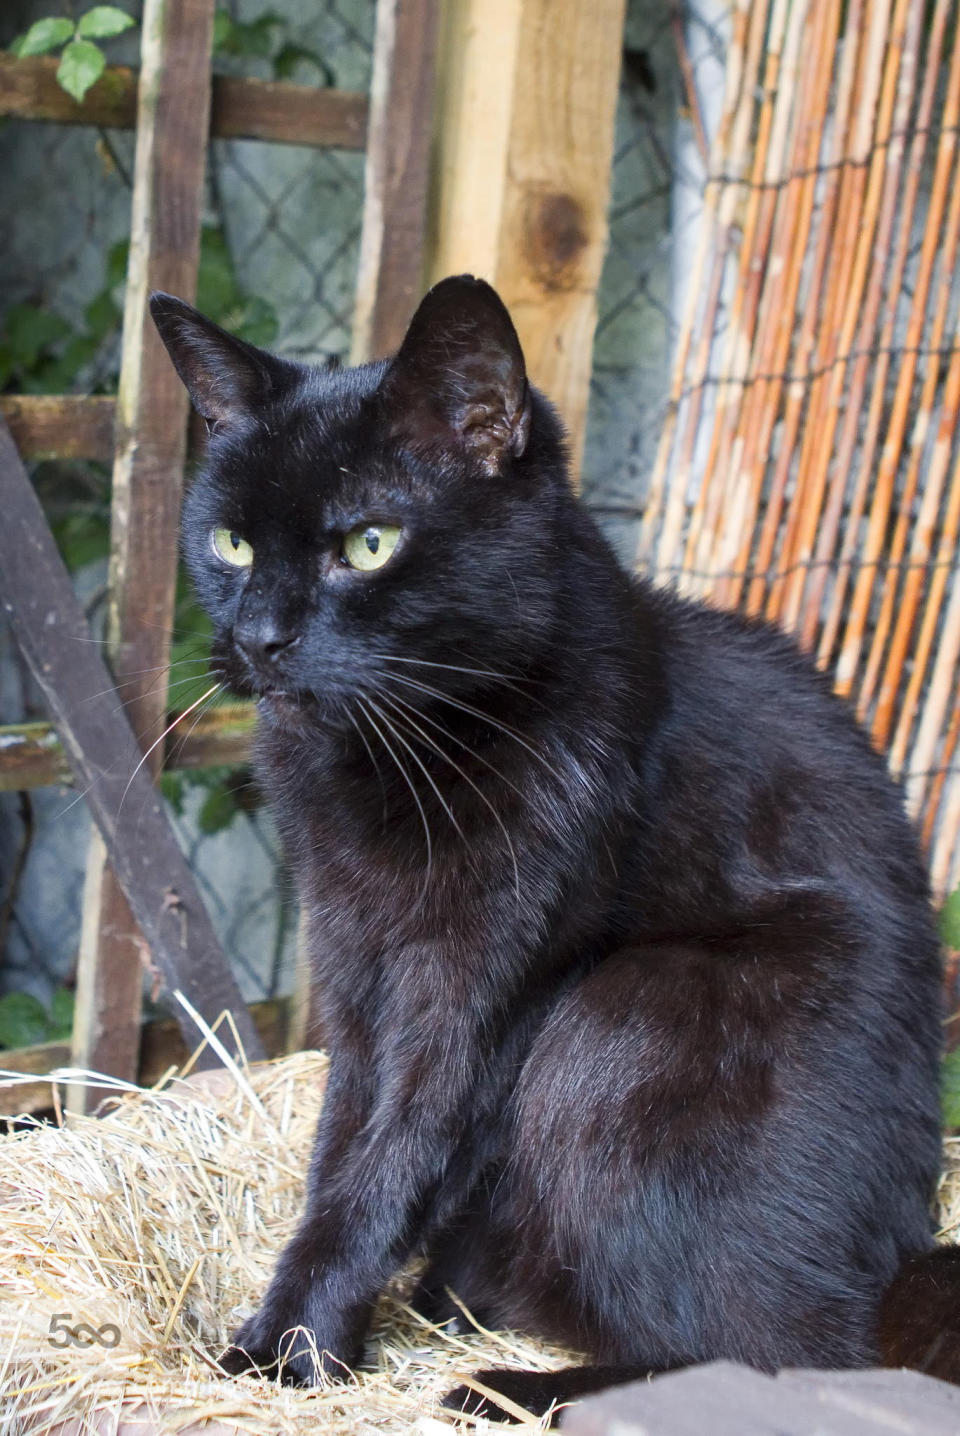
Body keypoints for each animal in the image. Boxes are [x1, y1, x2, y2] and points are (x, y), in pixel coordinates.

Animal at [149, 274, 952, 1418]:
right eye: (232, 546)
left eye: (370, 544)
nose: (258, 638)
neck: (399, 757)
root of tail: (901, 1252)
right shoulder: (353, 953)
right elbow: (344, 1138)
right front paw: (307, 1329)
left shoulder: (485, 975)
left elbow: (396, 1146)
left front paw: (290, 1350)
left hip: (627, 1015)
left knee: (783, 1348)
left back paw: (507, 1387)